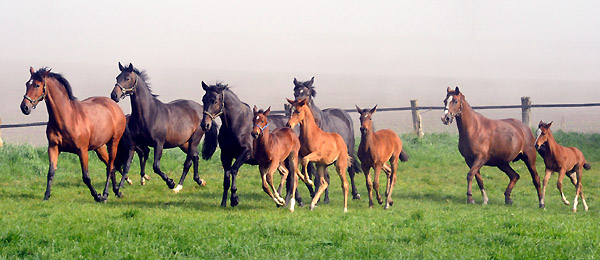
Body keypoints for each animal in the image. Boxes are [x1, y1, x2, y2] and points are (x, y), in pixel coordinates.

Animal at [19, 66, 126, 201]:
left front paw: (97, 196)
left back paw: (105, 194)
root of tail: (115, 107)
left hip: (113, 142)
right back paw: (117, 191)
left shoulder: (82, 151)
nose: (24, 107)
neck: (68, 118)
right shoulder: (53, 148)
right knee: (111, 166)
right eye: (27, 84)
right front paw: (46, 196)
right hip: (99, 147)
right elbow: (51, 172)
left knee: (110, 166)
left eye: (37, 85)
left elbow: (86, 177)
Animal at [110, 62, 218, 193]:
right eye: (117, 77)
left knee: (188, 162)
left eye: (127, 78)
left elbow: (156, 166)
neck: (148, 114)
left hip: (194, 140)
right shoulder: (133, 143)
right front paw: (120, 186)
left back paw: (179, 187)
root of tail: (202, 109)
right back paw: (200, 181)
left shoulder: (159, 144)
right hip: (183, 143)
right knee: (195, 157)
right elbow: (127, 166)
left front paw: (170, 182)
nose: (114, 95)